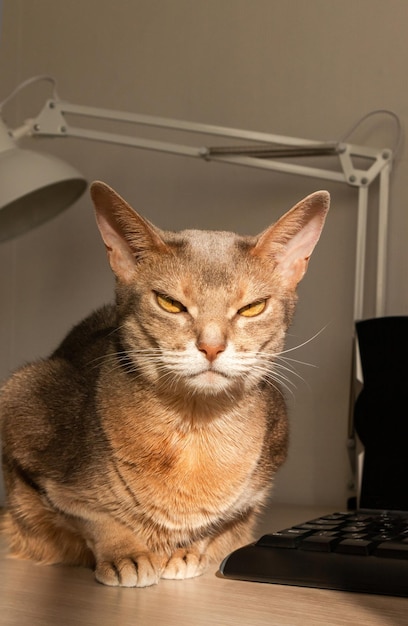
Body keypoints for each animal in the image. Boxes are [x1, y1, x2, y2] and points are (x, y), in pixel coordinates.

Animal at [0, 180, 330, 584]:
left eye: (252, 307)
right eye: (170, 303)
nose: (211, 346)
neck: (193, 430)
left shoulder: (256, 489)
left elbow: (221, 523)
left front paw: (189, 550)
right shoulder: (24, 409)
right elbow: (89, 515)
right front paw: (126, 553)